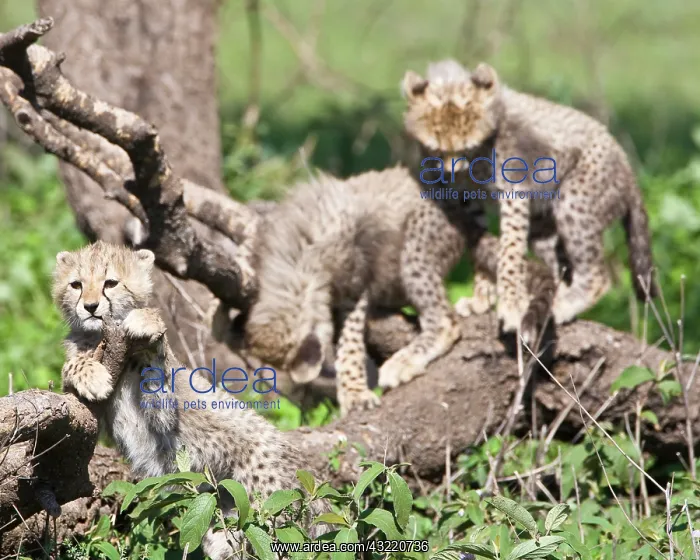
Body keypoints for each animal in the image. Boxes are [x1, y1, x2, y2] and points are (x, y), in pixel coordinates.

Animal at [53, 241, 328, 560]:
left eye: (111, 283)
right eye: (76, 285)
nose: (90, 306)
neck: (100, 338)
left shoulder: (164, 410)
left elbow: (157, 367)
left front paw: (146, 321)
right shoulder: (86, 406)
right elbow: (71, 374)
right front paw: (90, 375)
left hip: (271, 507)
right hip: (224, 519)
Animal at [243, 167, 555, 417]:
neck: (297, 264)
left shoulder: (355, 281)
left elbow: (349, 342)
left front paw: (354, 393)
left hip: (418, 240)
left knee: (445, 321)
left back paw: (403, 361)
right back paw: (480, 298)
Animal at [401, 58, 657, 335]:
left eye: (467, 148)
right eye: (435, 149)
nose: (451, 172)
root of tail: (630, 172)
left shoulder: (514, 193)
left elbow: (509, 251)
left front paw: (511, 305)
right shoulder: (468, 200)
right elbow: (480, 244)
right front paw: (481, 300)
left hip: (574, 199)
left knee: (596, 273)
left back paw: (565, 304)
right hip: (542, 226)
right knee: (560, 266)